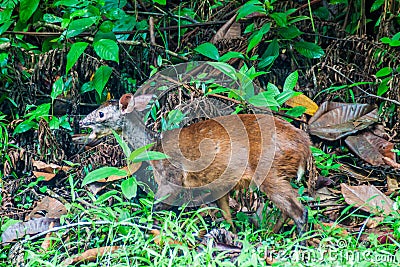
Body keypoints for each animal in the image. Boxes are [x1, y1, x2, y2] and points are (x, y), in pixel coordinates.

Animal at [79, 93, 314, 239]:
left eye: (100, 113)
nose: (81, 122)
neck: (154, 146)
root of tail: (305, 146)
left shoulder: (172, 179)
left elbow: (156, 209)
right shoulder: (217, 185)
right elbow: (226, 215)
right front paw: (232, 235)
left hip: (269, 171)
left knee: (299, 210)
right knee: (288, 209)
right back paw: (271, 233)